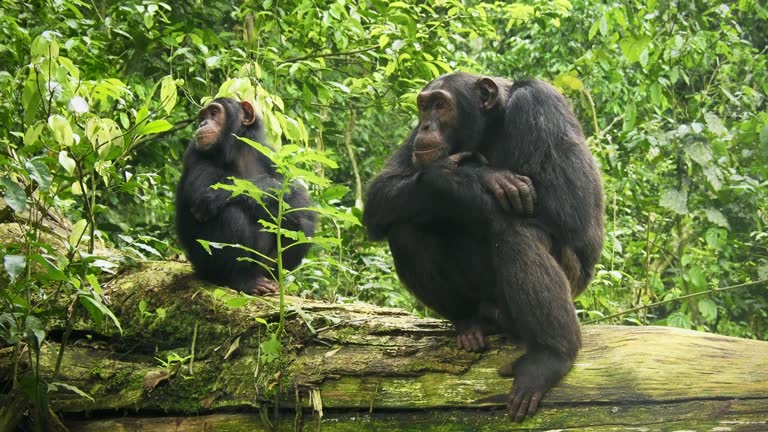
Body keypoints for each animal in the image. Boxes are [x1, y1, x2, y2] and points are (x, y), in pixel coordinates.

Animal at [176, 97, 316, 296]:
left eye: (213, 113)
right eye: (202, 116)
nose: (203, 123)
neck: (237, 151)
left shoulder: (269, 153)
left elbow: (298, 199)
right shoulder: (195, 152)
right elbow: (205, 190)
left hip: (263, 268)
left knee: (302, 224)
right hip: (206, 268)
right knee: (230, 213)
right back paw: (242, 281)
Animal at [364, 73, 604, 422]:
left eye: (441, 104)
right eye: (423, 106)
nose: (425, 125)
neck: (492, 123)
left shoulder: (540, 103)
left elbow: (571, 208)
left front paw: (478, 175)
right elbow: (381, 193)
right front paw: (469, 176)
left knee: (518, 231)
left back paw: (551, 356)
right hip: (482, 303)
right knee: (405, 226)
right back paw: (468, 323)